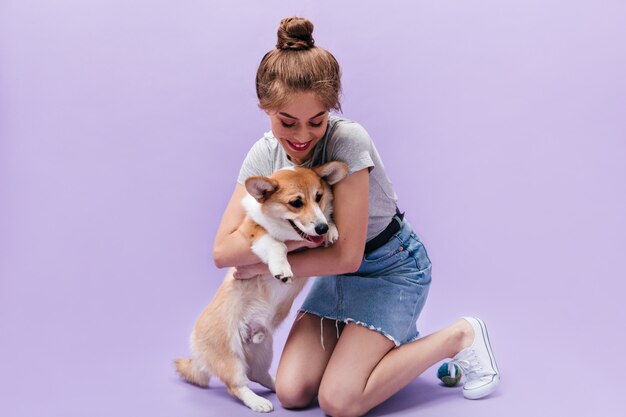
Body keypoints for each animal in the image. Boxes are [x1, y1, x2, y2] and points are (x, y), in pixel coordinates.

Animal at [176, 161, 348, 412]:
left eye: (319, 197)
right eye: (296, 203)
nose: (321, 229)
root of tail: (197, 356)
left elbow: (327, 220)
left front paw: (332, 231)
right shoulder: (251, 229)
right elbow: (276, 244)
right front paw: (282, 268)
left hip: (264, 348)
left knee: (256, 373)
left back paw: (276, 385)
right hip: (230, 355)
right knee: (237, 384)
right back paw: (258, 402)